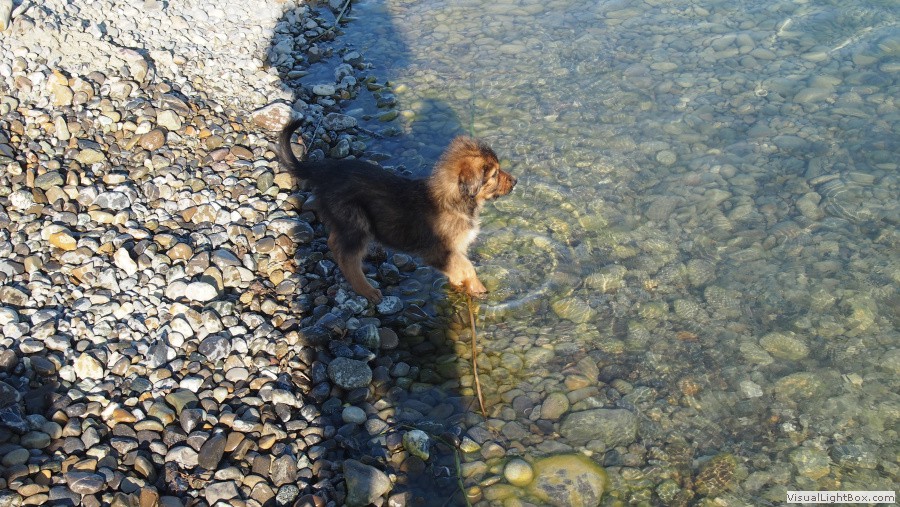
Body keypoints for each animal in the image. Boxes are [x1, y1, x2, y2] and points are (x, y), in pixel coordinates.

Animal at [276, 118, 516, 303]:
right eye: (494, 174)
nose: (515, 181)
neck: (456, 199)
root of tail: (325, 170)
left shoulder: (454, 249)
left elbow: (460, 266)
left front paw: (461, 283)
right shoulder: (439, 250)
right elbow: (467, 266)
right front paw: (477, 287)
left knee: (335, 242)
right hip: (357, 221)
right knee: (345, 254)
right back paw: (366, 290)